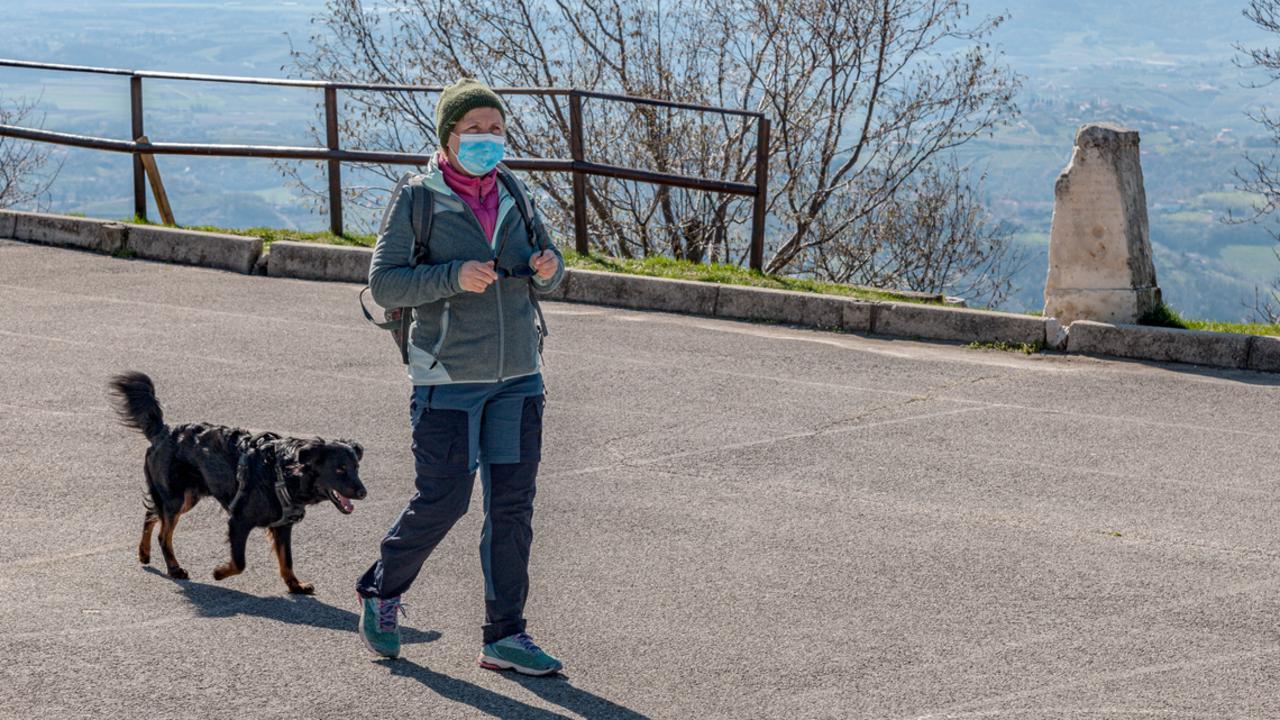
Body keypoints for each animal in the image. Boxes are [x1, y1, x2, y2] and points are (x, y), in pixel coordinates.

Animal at [106, 366, 368, 591]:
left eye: (356, 467)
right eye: (340, 469)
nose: (363, 492)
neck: (282, 472)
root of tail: (162, 430)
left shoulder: (283, 526)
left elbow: (287, 560)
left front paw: (295, 586)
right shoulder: (239, 520)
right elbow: (240, 562)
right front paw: (219, 572)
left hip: (186, 496)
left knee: (151, 515)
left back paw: (144, 552)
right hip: (176, 498)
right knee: (163, 533)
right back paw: (174, 568)